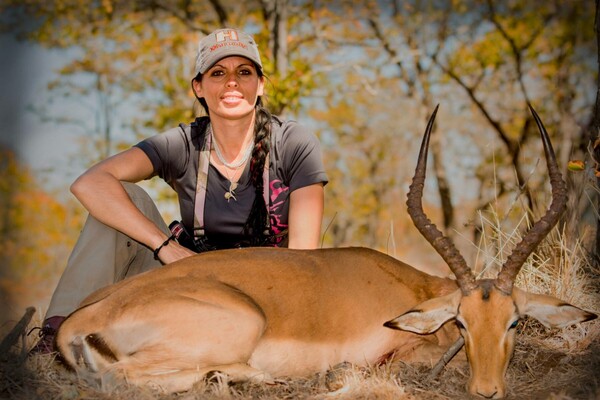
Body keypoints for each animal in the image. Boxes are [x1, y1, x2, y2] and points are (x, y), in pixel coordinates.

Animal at [55, 105, 596, 396]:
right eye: (461, 322)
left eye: (514, 322)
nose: (487, 391)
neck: (413, 290)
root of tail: (81, 320)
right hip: (239, 322)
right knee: (119, 378)